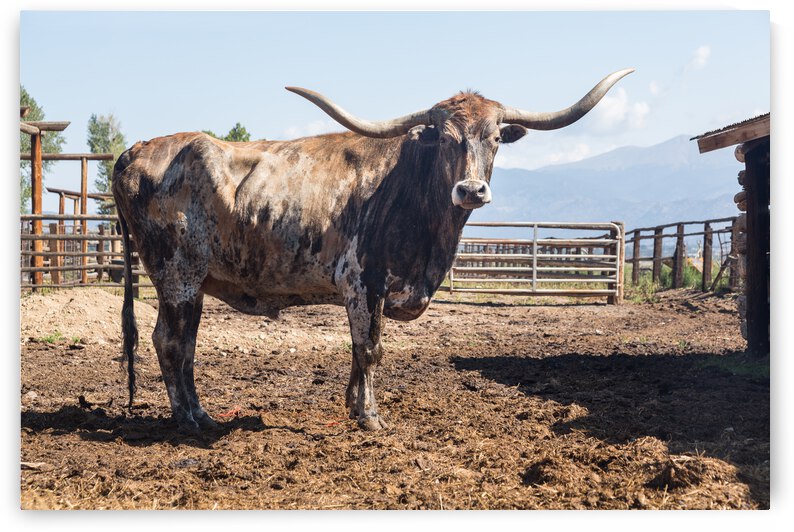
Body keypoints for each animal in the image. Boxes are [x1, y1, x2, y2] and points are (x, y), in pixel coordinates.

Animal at [112, 68, 633, 433]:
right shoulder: (363, 281)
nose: (470, 190)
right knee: (171, 342)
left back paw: (201, 414)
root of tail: (138, 148)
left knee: (184, 345)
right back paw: (187, 420)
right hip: (177, 277)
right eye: (446, 138)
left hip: (193, 285)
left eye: (496, 138)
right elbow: (369, 348)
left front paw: (351, 405)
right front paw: (370, 416)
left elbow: (357, 349)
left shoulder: (371, 292)